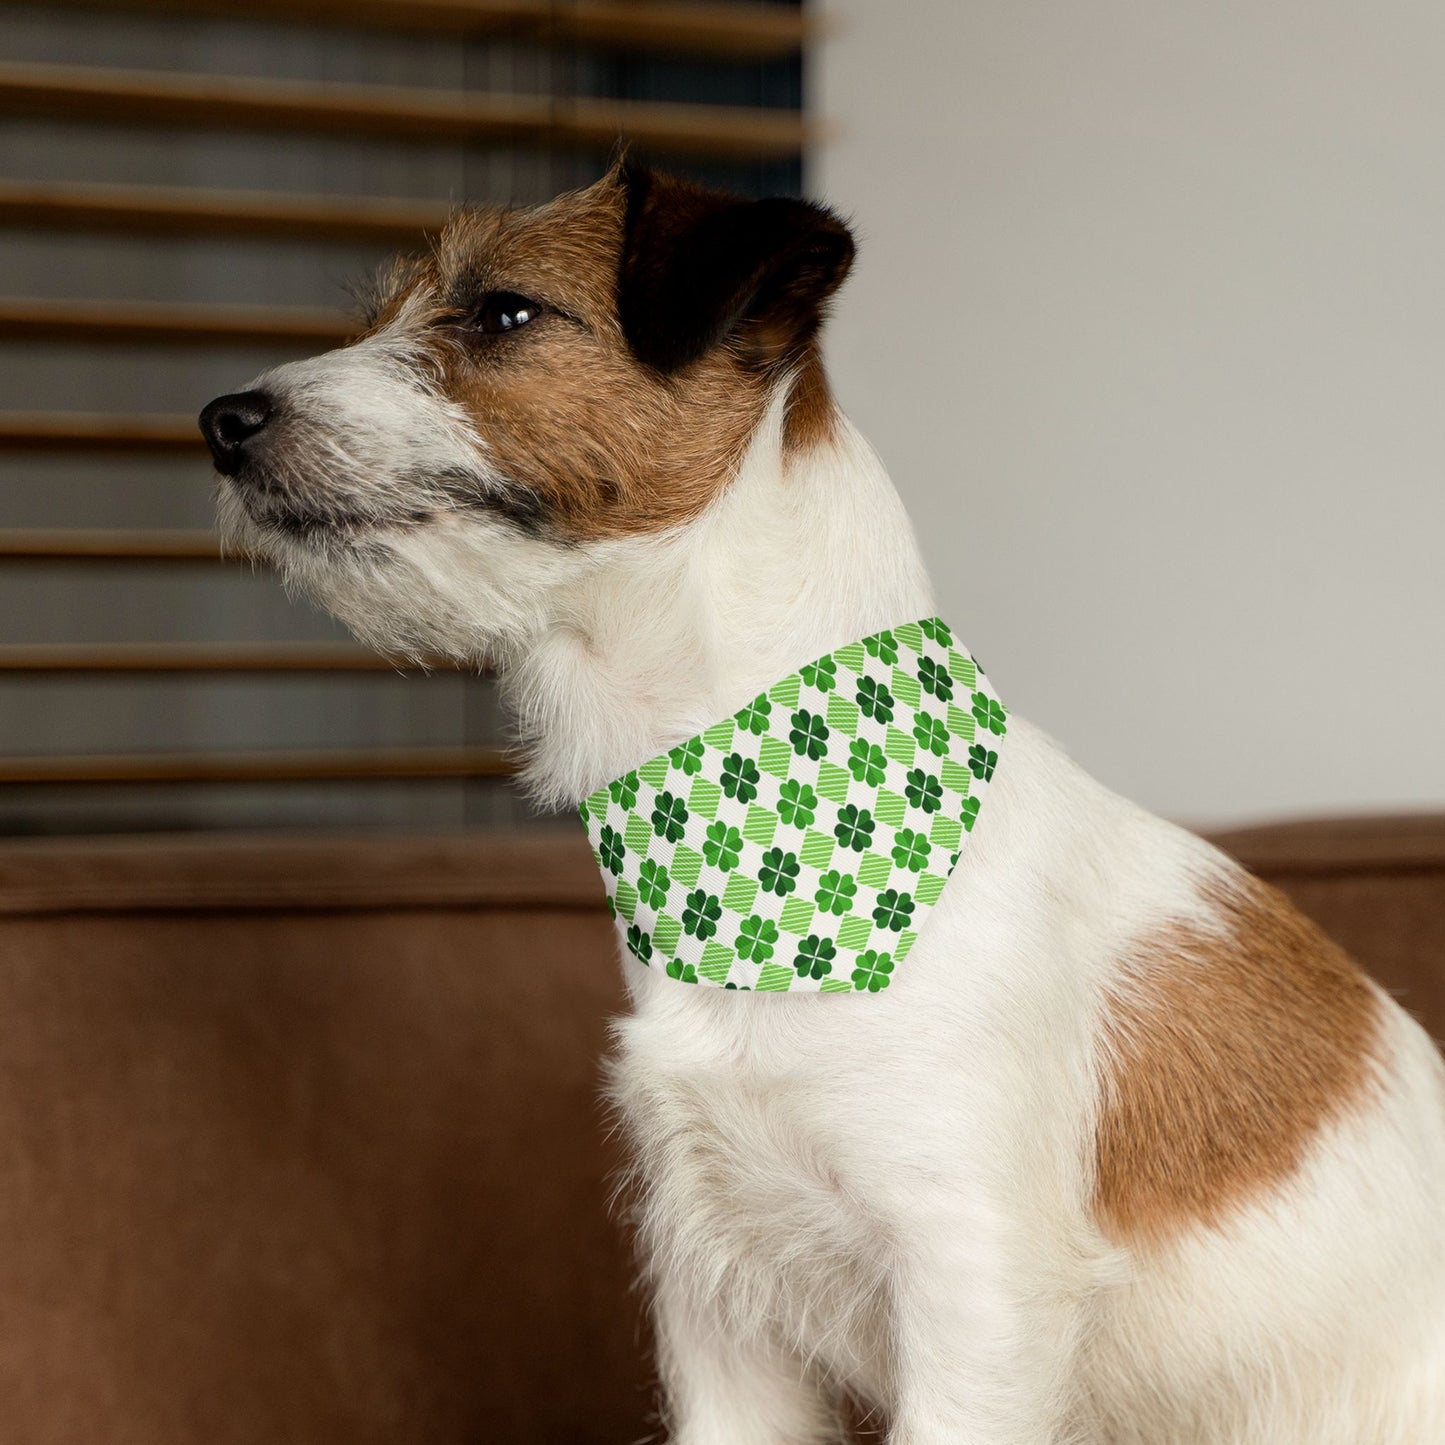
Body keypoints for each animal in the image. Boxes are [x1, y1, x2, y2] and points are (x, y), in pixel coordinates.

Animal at [200, 164, 1445, 1445]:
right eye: (383, 313)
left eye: (502, 312)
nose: (222, 421)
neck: (752, 849)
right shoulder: (716, 1303)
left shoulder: (972, 1291)